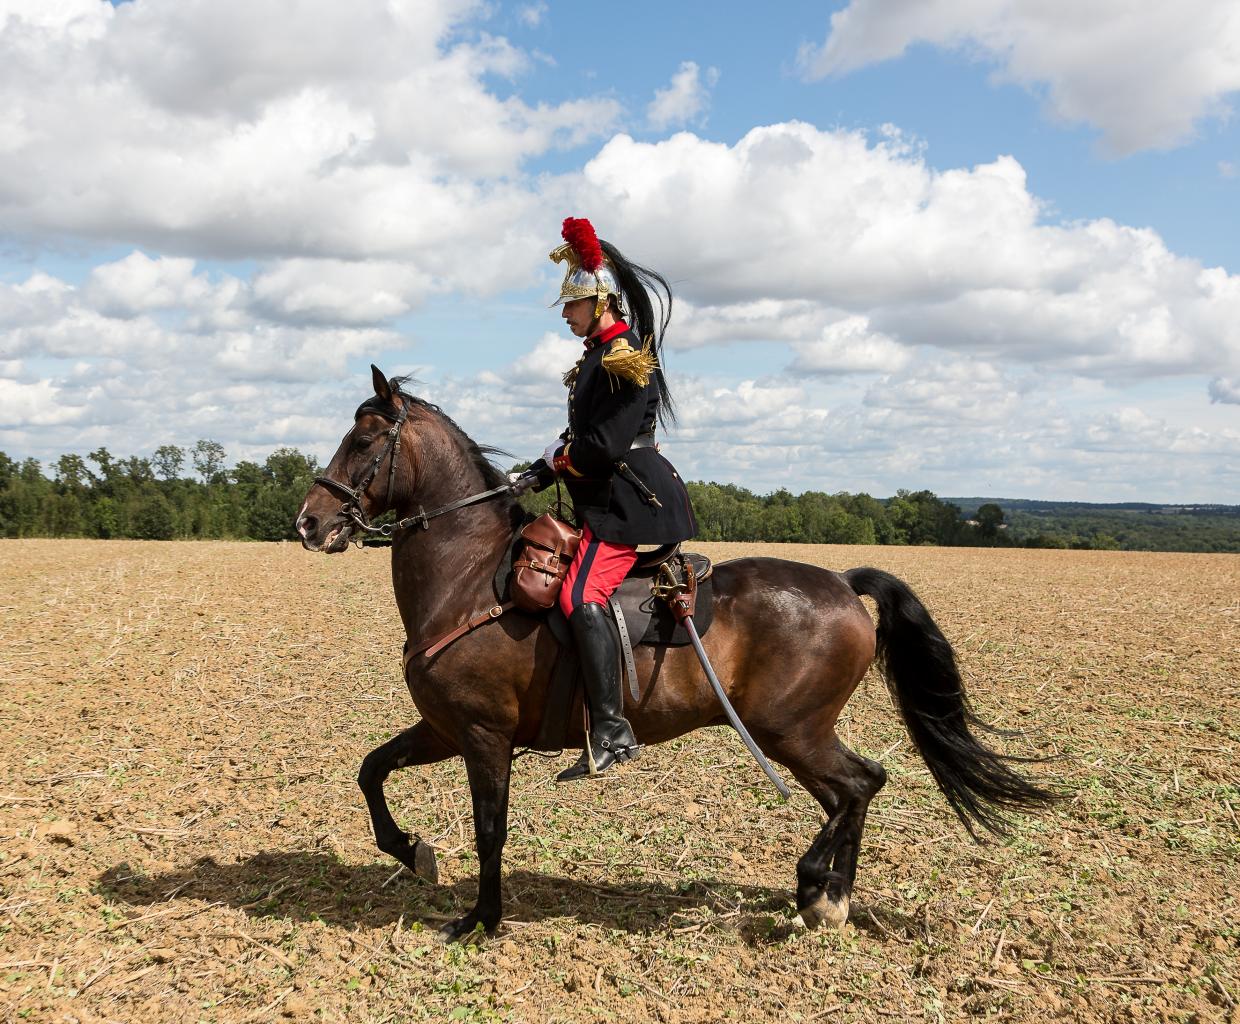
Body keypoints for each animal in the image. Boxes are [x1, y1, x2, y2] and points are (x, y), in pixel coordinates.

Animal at [295, 369, 1051, 942]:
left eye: (364, 439)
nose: (309, 522)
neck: (471, 578)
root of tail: (841, 582)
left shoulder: (483, 736)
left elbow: (490, 830)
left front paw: (480, 919)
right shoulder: (444, 728)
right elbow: (371, 771)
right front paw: (411, 852)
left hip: (791, 731)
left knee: (859, 786)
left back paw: (817, 888)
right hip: (797, 734)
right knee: (857, 789)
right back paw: (831, 898)